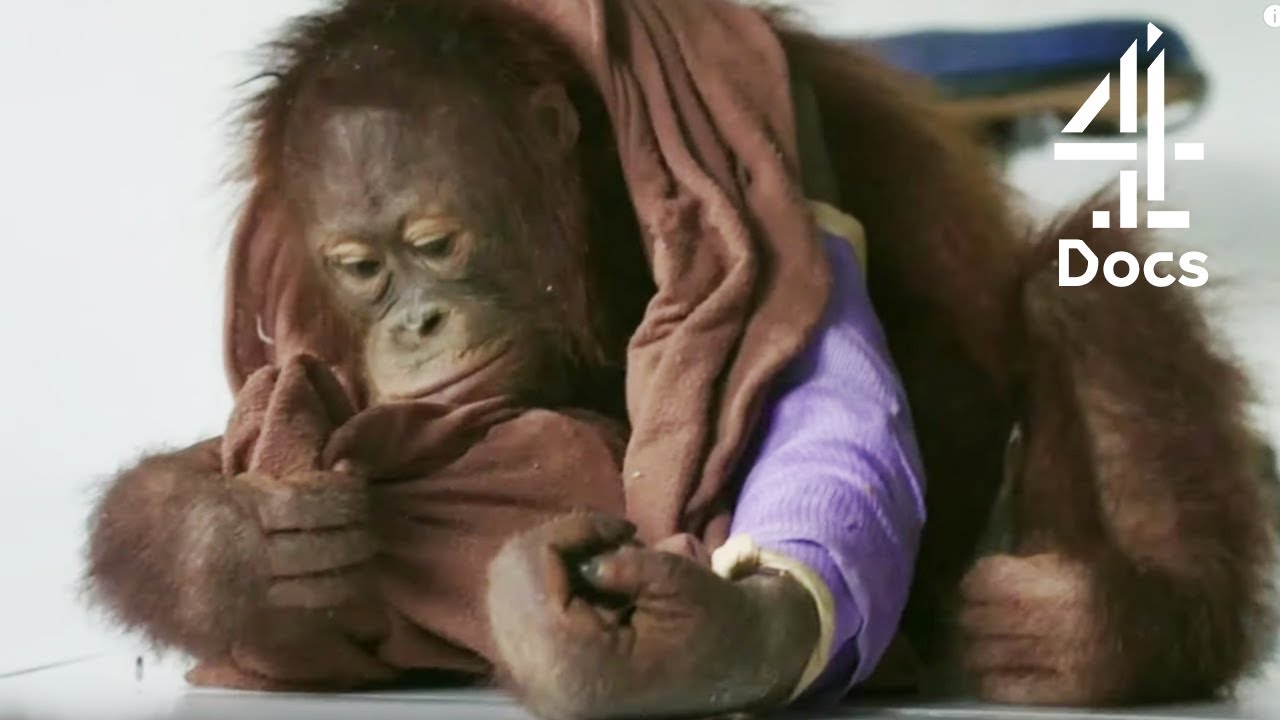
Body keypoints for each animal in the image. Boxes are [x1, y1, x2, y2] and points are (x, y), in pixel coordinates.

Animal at [85, 0, 1277, 717]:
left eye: (436, 244)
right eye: (359, 267)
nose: (413, 326)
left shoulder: (760, 129)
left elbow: (821, 380)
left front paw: (695, 642)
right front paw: (216, 543)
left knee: (1073, 290)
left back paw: (1109, 633)